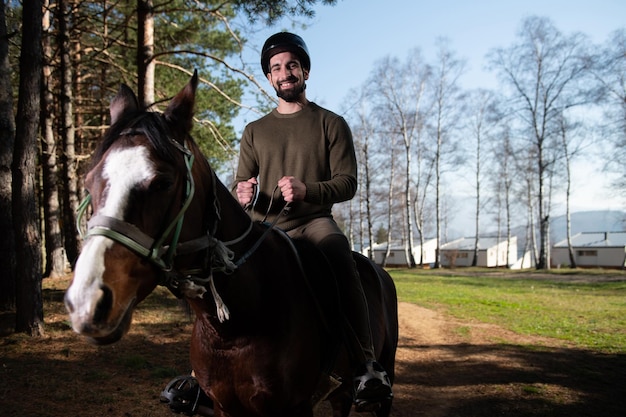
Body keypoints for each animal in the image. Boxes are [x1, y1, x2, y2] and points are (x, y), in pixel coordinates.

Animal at [63, 72, 394, 416]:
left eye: (163, 183)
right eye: (88, 182)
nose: (86, 302)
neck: (238, 325)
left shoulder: (295, 407)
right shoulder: (225, 407)